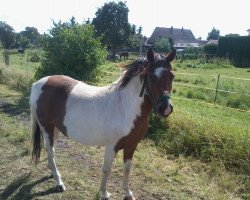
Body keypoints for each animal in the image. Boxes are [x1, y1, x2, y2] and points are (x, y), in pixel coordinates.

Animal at [29, 47, 176, 199]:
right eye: (151, 76)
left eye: (171, 76)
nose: (165, 108)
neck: (125, 106)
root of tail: (39, 84)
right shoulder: (112, 146)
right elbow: (107, 169)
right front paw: (104, 192)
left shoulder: (132, 145)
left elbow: (127, 169)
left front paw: (127, 193)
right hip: (47, 127)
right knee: (51, 151)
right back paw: (59, 183)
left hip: (56, 128)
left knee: (50, 151)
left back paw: (54, 174)